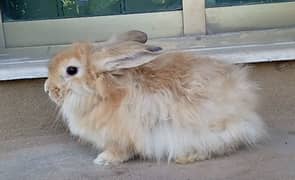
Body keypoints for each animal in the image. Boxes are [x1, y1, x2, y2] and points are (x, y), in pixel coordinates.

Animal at [45, 29, 270, 166]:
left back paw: (187, 157)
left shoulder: (122, 137)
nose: (47, 89)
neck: (104, 91)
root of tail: (246, 110)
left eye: (71, 70)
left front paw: (103, 159)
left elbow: (120, 151)